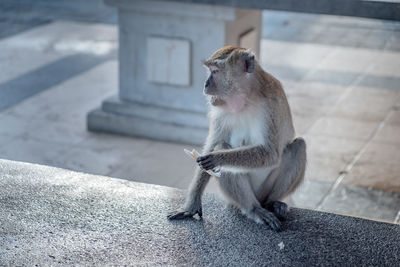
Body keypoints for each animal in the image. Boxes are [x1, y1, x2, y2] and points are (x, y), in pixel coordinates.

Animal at [166, 46, 306, 232]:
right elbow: (213, 144)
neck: (246, 100)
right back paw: (253, 209)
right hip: (234, 199)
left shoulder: (272, 105)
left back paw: (271, 204)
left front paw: (216, 157)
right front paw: (192, 205)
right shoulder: (219, 112)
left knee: (298, 146)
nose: (205, 85)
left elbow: (270, 153)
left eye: (215, 71)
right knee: (223, 148)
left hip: (265, 190)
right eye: (210, 71)